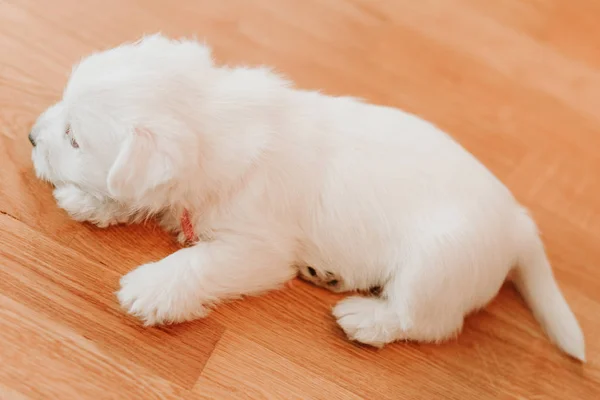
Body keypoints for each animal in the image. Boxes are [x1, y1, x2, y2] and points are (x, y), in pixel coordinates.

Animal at [30, 33, 584, 360]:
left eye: (75, 138)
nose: (33, 136)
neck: (214, 120)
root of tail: (518, 222)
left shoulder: (255, 248)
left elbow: (198, 262)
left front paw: (152, 287)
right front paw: (89, 201)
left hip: (436, 268)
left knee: (427, 321)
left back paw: (367, 318)